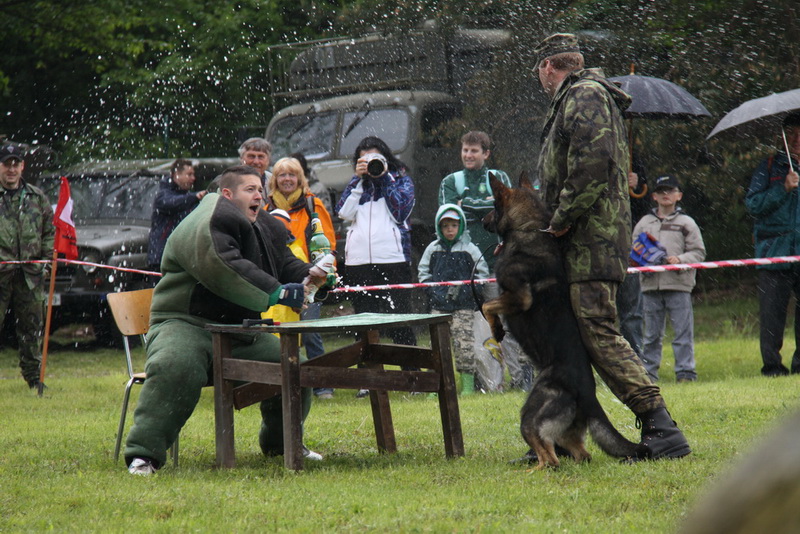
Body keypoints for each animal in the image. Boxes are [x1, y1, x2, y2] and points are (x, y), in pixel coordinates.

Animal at [482, 173, 644, 468]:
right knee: (581, 454)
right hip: (568, 433)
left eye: (493, 207)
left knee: (551, 459)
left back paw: (534, 470)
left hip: (532, 414)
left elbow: (488, 305)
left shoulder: (519, 297)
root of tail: (590, 398)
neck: (528, 229)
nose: (480, 220)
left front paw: (497, 329)